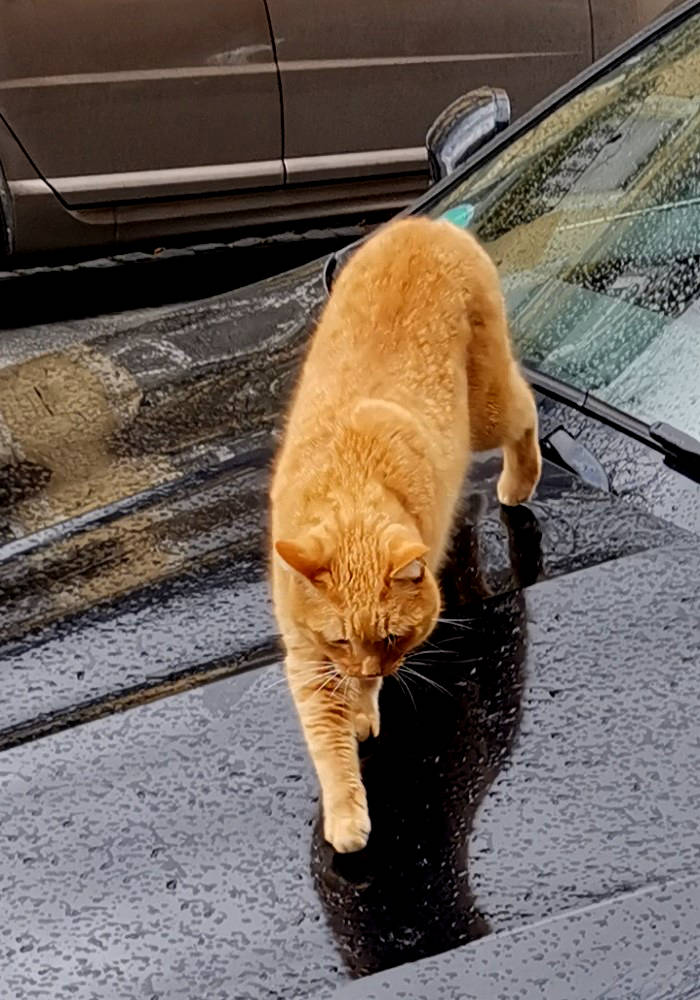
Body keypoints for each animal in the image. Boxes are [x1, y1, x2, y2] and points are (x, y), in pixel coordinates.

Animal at [270, 217, 540, 852]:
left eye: (393, 637)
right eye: (340, 639)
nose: (371, 672)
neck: (349, 483)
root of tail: (427, 224)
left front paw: (364, 708)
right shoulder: (306, 656)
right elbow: (329, 740)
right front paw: (346, 803)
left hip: (487, 408)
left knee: (528, 410)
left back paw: (519, 482)